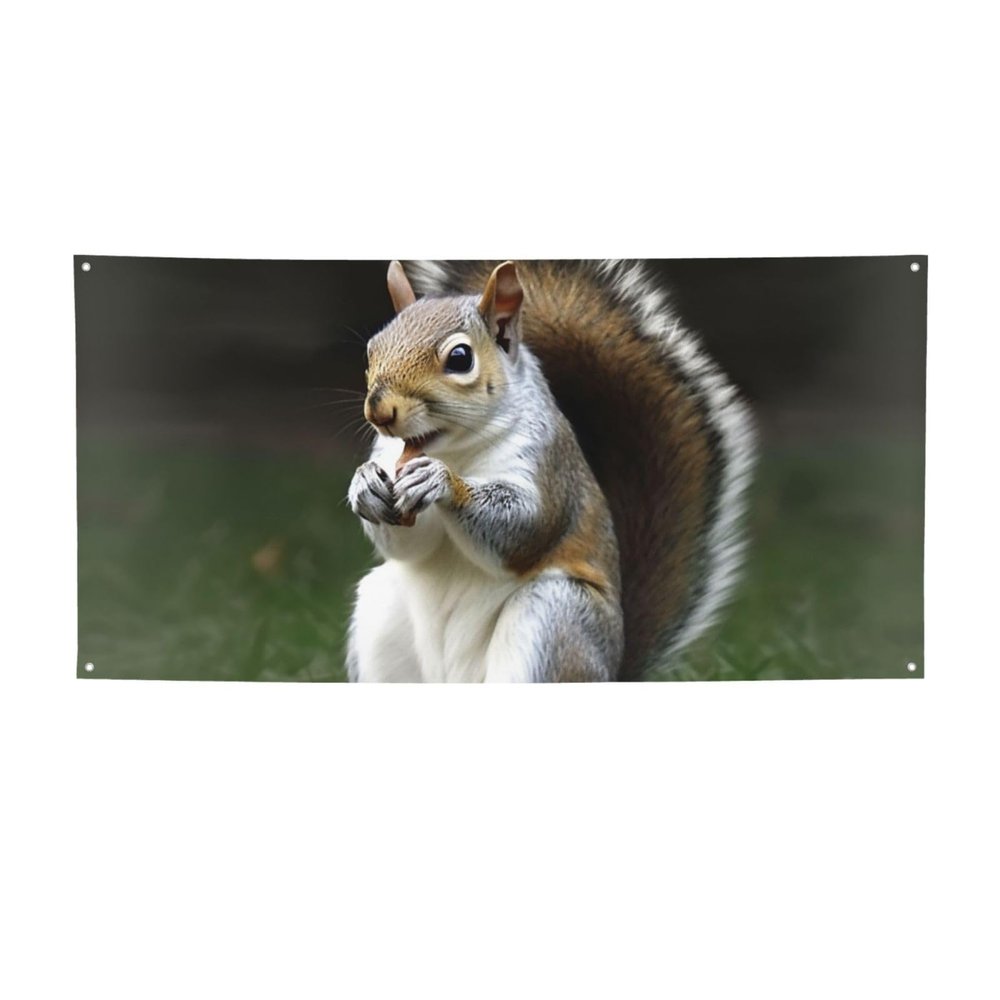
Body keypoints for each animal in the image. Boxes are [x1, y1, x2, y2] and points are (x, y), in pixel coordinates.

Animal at [345, 260, 756, 682]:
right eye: (370, 351)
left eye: (460, 358)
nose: (379, 411)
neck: (456, 450)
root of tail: (614, 672)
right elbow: (411, 545)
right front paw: (364, 485)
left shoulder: (548, 465)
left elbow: (526, 528)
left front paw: (441, 482)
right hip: (381, 613)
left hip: (554, 618)